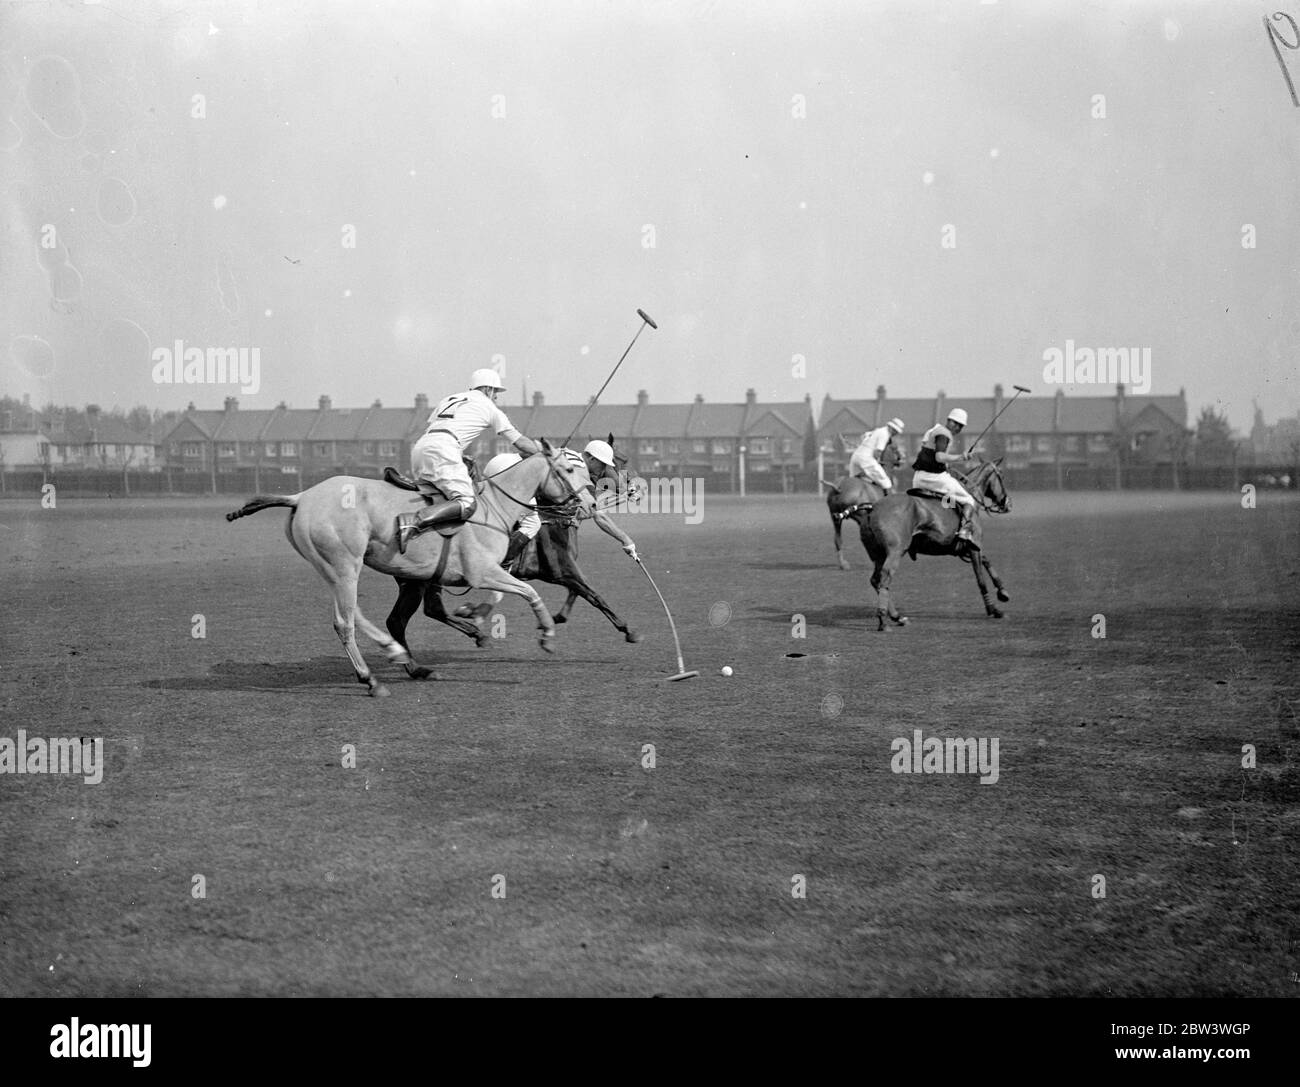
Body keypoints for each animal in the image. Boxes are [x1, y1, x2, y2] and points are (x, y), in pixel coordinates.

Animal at [228, 444, 595, 702]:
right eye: (567, 469)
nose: (590, 505)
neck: (495, 507)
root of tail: (301, 496)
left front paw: (480, 623)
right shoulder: (482, 572)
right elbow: (529, 591)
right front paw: (546, 634)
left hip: (337, 568)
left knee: (362, 617)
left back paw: (404, 659)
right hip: (346, 566)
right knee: (346, 622)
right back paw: (373, 677)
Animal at [863, 457, 1013, 629]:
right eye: (1001, 475)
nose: (1007, 504)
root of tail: (872, 508)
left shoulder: (967, 547)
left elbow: (987, 562)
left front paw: (1003, 592)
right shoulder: (974, 548)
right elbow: (981, 580)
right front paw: (994, 609)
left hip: (878, 554)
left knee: (875, 580)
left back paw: (897, 617)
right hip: (895, 552)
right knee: (884, 579)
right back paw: (883, 619)